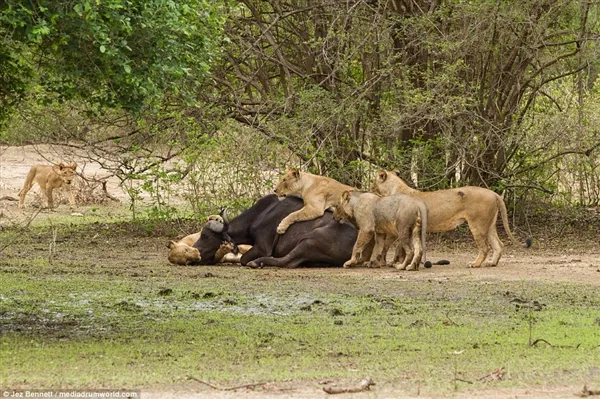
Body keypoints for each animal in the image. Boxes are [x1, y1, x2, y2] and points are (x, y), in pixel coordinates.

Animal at [372, 170, 532, 268]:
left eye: (374, 182)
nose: (370, 187)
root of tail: (494, 193)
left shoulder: (402, 227)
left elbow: (398, 248)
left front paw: (395, 263)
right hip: (490, 225)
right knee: (499, 245)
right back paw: (491, 263)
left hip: (478, 224)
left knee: (485, 247)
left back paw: (475, 264)